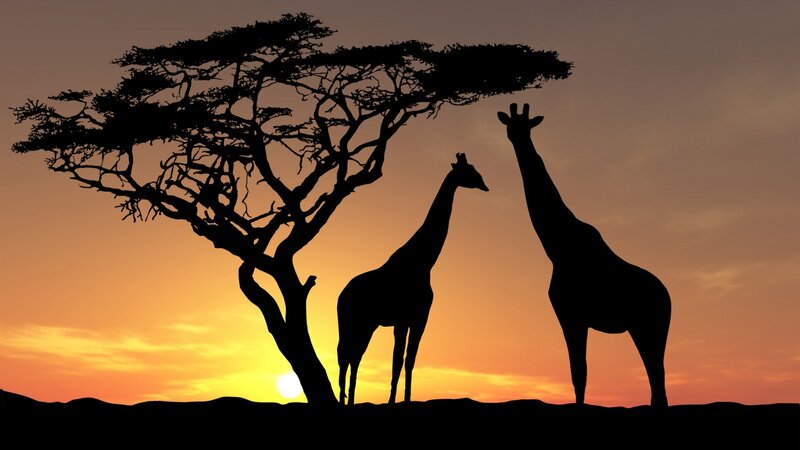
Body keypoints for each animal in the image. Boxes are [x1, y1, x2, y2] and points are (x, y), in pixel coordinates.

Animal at [337, 153, 489, 406]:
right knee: (346, 355)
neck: (424, 262)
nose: (485, 185)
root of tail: (341, 295)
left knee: (353, 356)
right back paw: (344, 400)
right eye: (469, 171)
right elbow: (397, 361)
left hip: (367, 324)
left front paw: (406, 400)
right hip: (353, 321)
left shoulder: (419, 317)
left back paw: (348, 400)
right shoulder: (402, 319)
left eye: (475, 169)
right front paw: (391, 402)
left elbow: (409, 360)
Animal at [498, 103, 671, 407]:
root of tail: (669, 298)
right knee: (657, 382)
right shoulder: (573, 316)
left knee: (657, 380)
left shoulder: (571, 314)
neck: (558, 247)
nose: (517, 138)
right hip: (643, 329)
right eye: (511, 125)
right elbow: (578, 374)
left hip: (650, 327)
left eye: (526, 126)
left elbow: (579, 373)